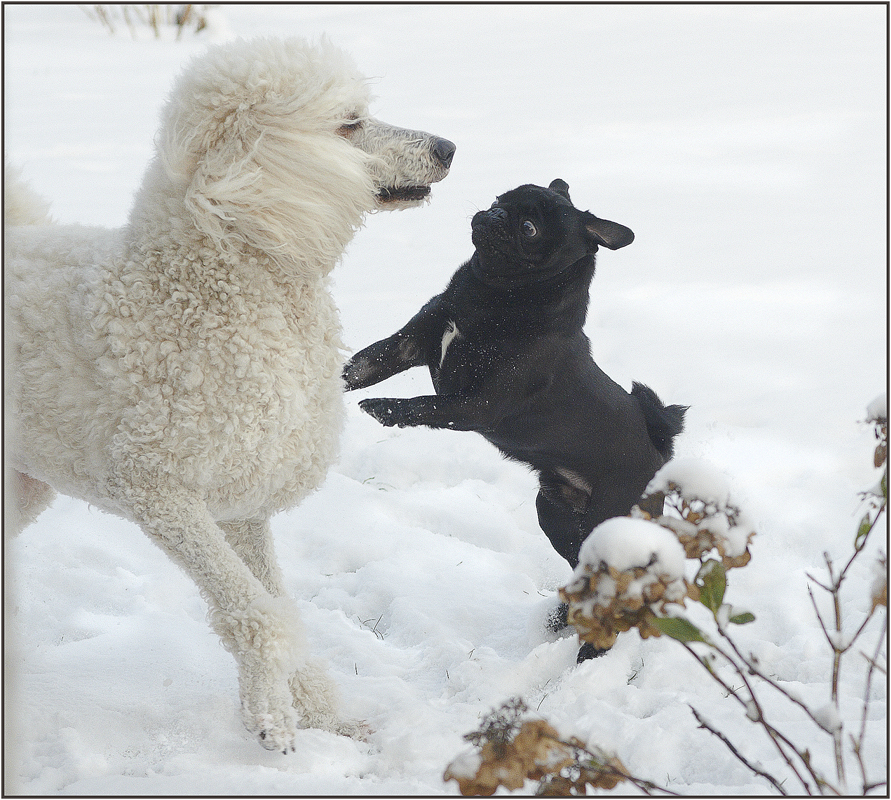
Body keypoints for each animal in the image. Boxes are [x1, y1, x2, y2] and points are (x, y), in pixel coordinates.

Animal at [344, 178, 688, 572]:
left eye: (529, 228)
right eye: (498, 199)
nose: (496, 214)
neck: (494, 294)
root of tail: (661, 452)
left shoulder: (476, 406)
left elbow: (423, 403)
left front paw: (383, 407)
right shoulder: (406, 345)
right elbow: (360, 368)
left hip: (609, 518)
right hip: (554, 512)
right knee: (577, 556)